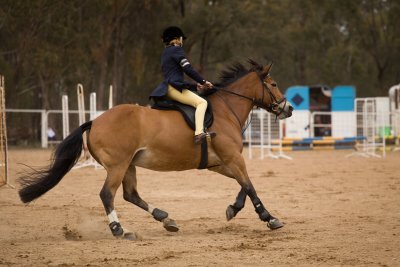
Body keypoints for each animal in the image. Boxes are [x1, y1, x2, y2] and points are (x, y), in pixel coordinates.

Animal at [18, 60, 294, 241]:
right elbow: (250, 185)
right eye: (273, 84)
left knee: (130, 195)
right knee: (107, 194)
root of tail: (95, 121)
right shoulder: (232, 158)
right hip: (118, 166)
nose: (288, 108)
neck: (226, 110)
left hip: (128, 165)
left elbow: (243, 185)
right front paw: (269, 218)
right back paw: (120, 230)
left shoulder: (221, 163)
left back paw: (165, 218)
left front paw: (233, 209)